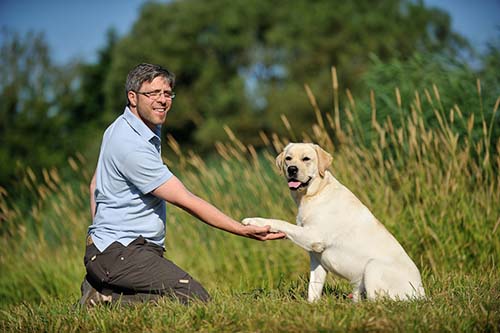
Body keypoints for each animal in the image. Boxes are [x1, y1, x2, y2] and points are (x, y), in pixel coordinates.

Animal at [244, 142, 424, 300]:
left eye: (306, 159)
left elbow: (283, 223)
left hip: (373, 267)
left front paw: (254, 221)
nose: (292, 169)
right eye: (288, 158)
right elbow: (313, 289)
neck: (315, 192)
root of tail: (422, 295)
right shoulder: (316, 258)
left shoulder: (313, 237)